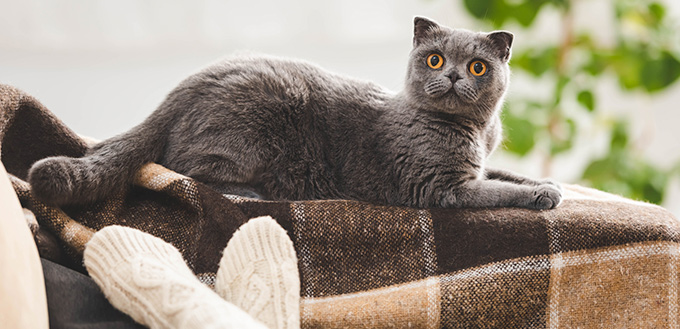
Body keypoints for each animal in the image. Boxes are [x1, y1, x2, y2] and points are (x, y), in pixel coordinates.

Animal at [26, 17, 560, 208]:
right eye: (434, 59)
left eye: (477, 67)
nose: (451, 77)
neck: (476, 130)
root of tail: (186, 85)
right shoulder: (439, 185)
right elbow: (495, 193)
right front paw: (543, 197)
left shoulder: (480, 165)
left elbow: (506, 175)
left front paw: (547, 184)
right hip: (250, 133)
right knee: (182, 165)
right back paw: (251, 192)